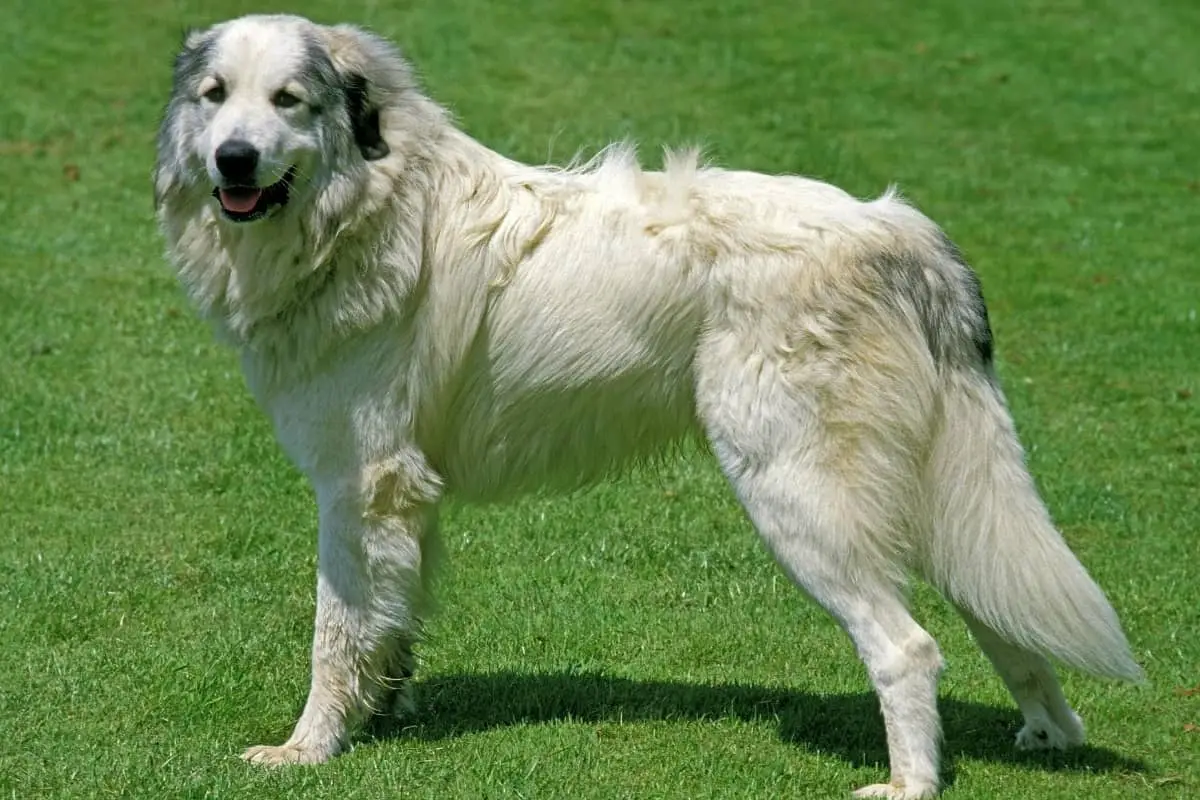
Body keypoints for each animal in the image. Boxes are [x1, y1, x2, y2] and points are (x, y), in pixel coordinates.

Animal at [154, 14, 1137, 800]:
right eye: (215, 96)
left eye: (288, 100)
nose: (233, 159)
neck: (369, 209)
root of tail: (899, 230)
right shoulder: (402, 501)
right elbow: (390, 624)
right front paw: (382, 715)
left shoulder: (360, 488)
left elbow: (337, 631)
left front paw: (309, 749)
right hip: (931, 490)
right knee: (996, 607)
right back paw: (1047, 731)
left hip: (798, 494)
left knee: (907, 648)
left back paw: (910, 785)